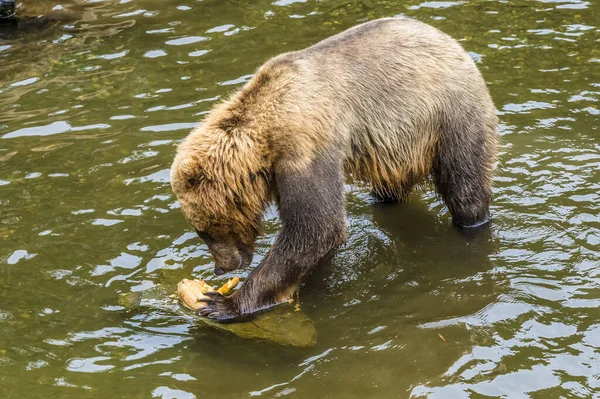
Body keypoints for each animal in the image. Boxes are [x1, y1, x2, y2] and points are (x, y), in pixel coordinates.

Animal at [171, 17, 500, 322]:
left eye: (205, 231)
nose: (221, 267)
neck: (265, 142)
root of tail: (451, 42)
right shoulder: (281, 170)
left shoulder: (306, 148)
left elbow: (317, 226)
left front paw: (221, 303)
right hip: (398, 147)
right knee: (390, 190)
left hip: (450, 116)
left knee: (465, 188)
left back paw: (471, 225)